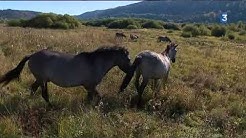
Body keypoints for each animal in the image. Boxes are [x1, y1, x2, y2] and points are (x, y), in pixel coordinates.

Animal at [0, 45, 132, 105]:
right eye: (129, 59)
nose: (131, 71)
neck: (95, 62)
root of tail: (32, 55)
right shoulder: (91, 86)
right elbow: (98, 97)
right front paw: (95, 107)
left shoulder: (89, 87)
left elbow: (90, 98)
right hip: (42, 80)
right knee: (44, 94)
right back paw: (51, 106)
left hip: (40, 79)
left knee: (33, 88)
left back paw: (29, 101)